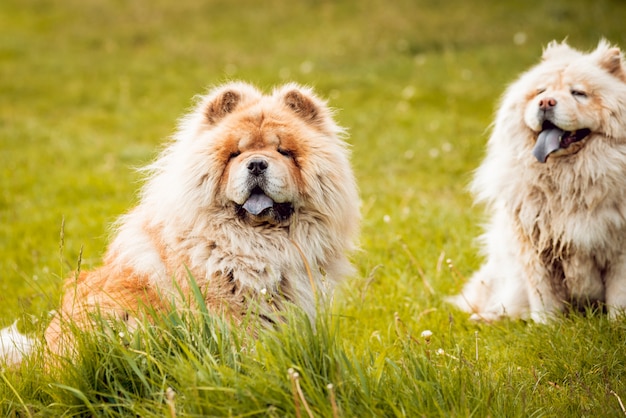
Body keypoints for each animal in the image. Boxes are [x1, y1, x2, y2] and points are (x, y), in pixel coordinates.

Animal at [446, 40, 624, 322]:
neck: (568, 181)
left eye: (578, 93)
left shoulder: (618, 251)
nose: (545, 102)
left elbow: (619, 298)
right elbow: (544, 298)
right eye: (541, 91)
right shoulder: (536, 249)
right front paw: (549, 326)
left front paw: (617, 325)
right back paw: (487, 319)